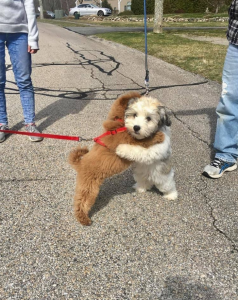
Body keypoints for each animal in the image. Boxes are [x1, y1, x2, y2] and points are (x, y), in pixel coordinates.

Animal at [68, 91, 177, 225]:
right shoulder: (131, 139)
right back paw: (83, 218)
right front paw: (159, 135)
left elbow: (119, 102)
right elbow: (145, 140)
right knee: (81, 202)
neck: (118, 126)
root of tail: (80, 163)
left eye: (148, 118)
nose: (136, 127)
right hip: (89, 188)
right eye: (135, 115)